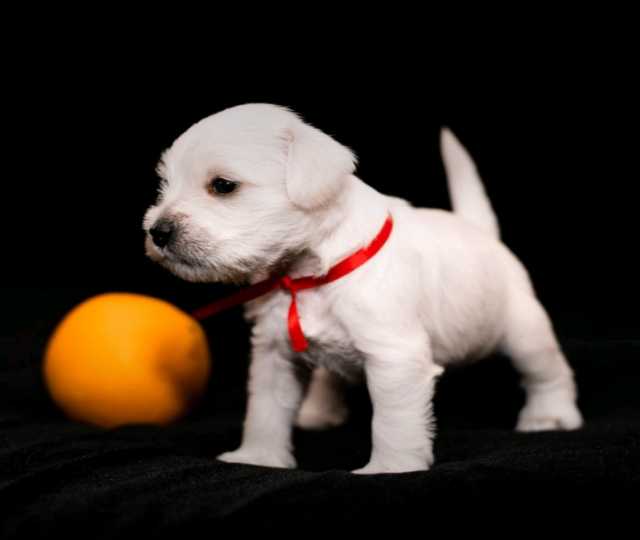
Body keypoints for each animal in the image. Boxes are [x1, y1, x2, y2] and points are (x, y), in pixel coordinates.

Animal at [143, 103, 583, 474]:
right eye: (164, 184)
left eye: (223, 185)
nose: (158, 232)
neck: (309, 274)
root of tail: (480, 232)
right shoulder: (274, 354)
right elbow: (265, 411)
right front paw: (257, 458)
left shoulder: (395, 358)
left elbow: (393, 421)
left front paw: (390, 469)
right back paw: (319, 411)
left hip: (523, 330)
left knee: (548, 371)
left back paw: (550, 415)